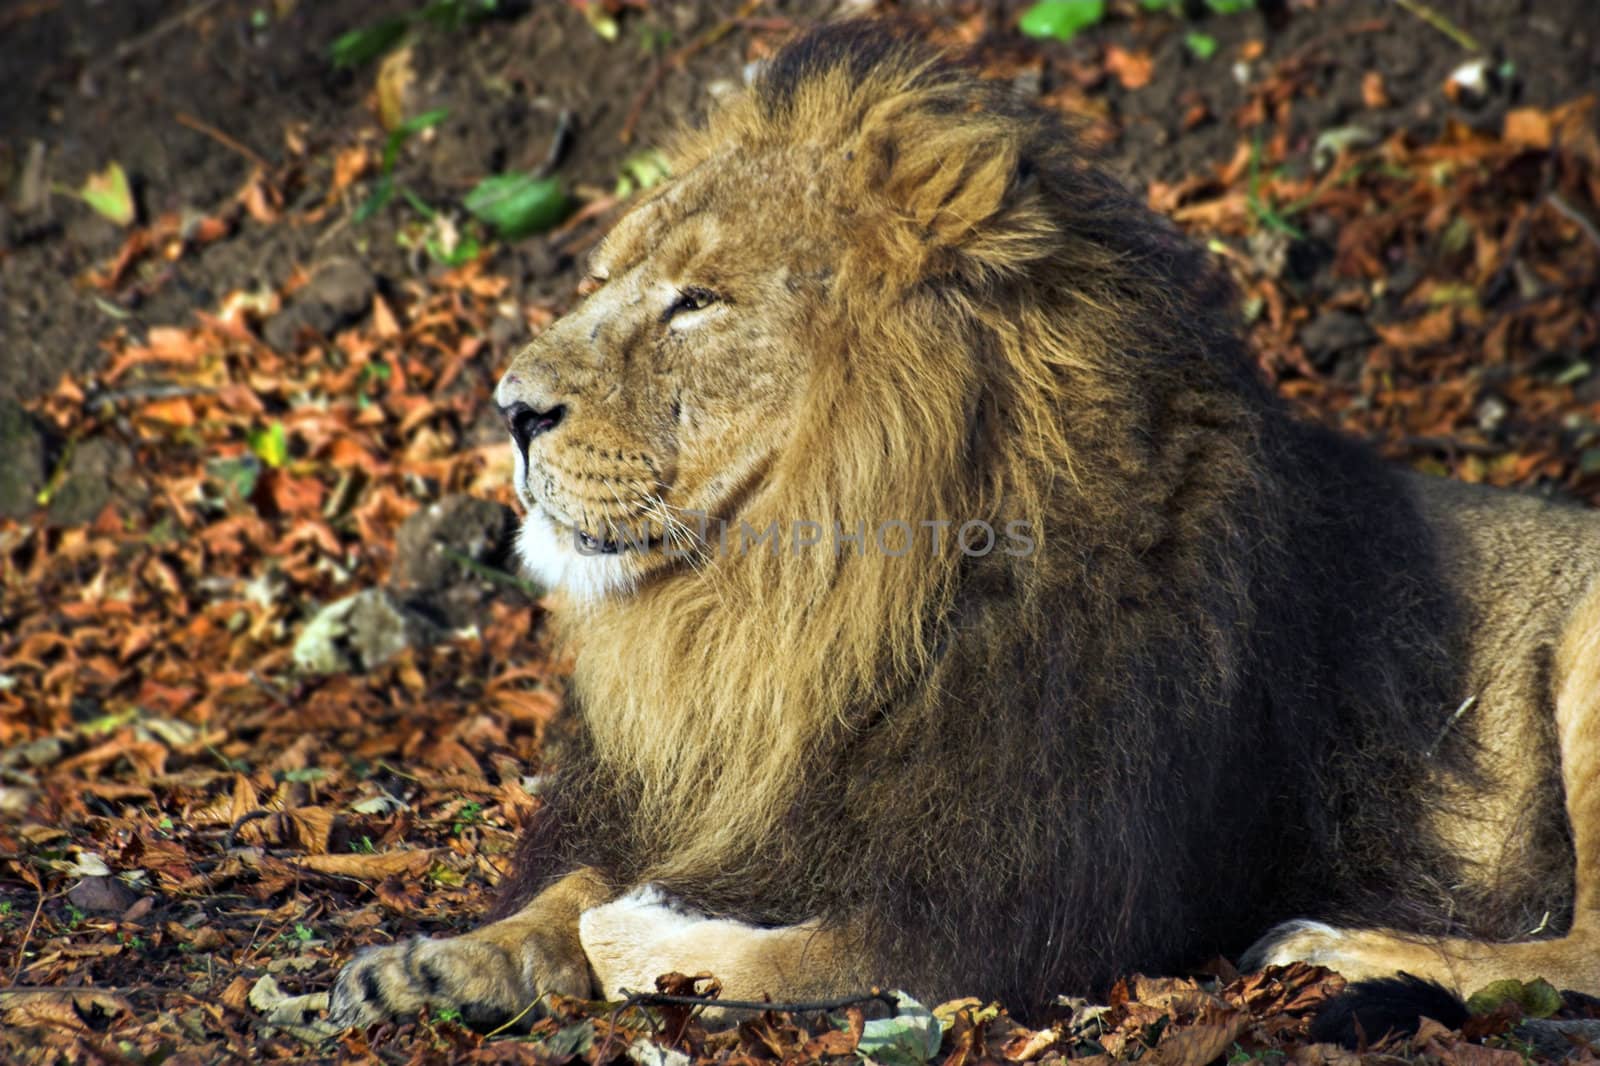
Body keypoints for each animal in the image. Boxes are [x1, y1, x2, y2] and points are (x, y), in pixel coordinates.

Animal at [328, 22, 1600, 1024]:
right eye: (603, 280)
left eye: (699, 301)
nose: (509, 407)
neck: (798, 613)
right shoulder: (739, 800)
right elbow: (568, 889)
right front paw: (434, 962)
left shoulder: (1054, 900)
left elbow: (817, 951)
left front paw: (640, 935)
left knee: (1574, 956)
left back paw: (1330, 947)